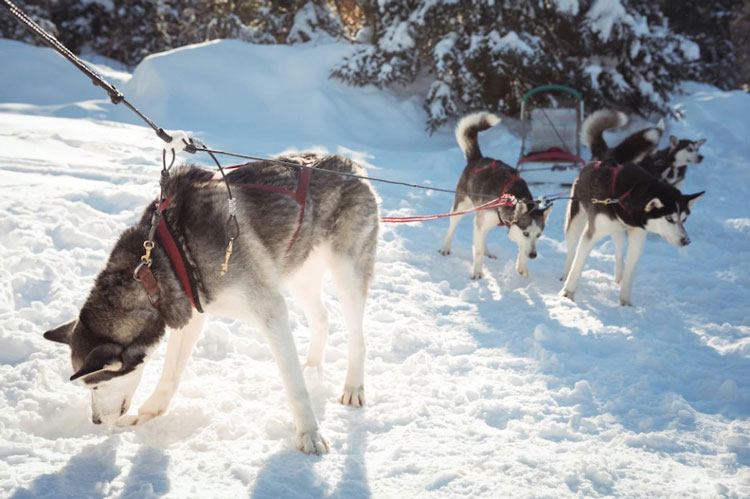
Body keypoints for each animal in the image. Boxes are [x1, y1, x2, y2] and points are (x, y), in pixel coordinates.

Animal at [44, 155, 378, 458]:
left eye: (95, 387)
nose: (96, 421)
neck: (154, 265)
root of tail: (348, 162)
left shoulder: (271, 310)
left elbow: (294, 386)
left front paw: (309, 433)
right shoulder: (190, 314)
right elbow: (170, 376)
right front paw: (148, 413)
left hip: (346, 273)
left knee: (358, 337)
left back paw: (353, 387)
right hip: (298, 274)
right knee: (322, 317)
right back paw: (312, 364)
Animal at [438, 113, 556, 282]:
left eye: (539, 235)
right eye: (526, 233)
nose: (533, 255)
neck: (511, 196)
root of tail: (477, 159)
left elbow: (521, 248)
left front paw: (522, 266)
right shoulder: (484, 222)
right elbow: (478, 251)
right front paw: (477, 272)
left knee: (483, 236)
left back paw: (487, 250)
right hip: (462, 206)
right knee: (453, 226)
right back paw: (446, 247)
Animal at [564, 160, 704, 308]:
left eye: (684, 219)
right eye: (669, 219)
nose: (686, 241)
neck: (626, 196)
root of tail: (593, 163)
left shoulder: (637, 237)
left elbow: (629, 272)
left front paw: (625, 301)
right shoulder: (591, 235)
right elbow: (577, 266)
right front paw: (568, 293)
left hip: (618, 231)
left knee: (619, 252)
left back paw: (619, 276)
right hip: (575, 222)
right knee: (572, 250)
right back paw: (565, 274)